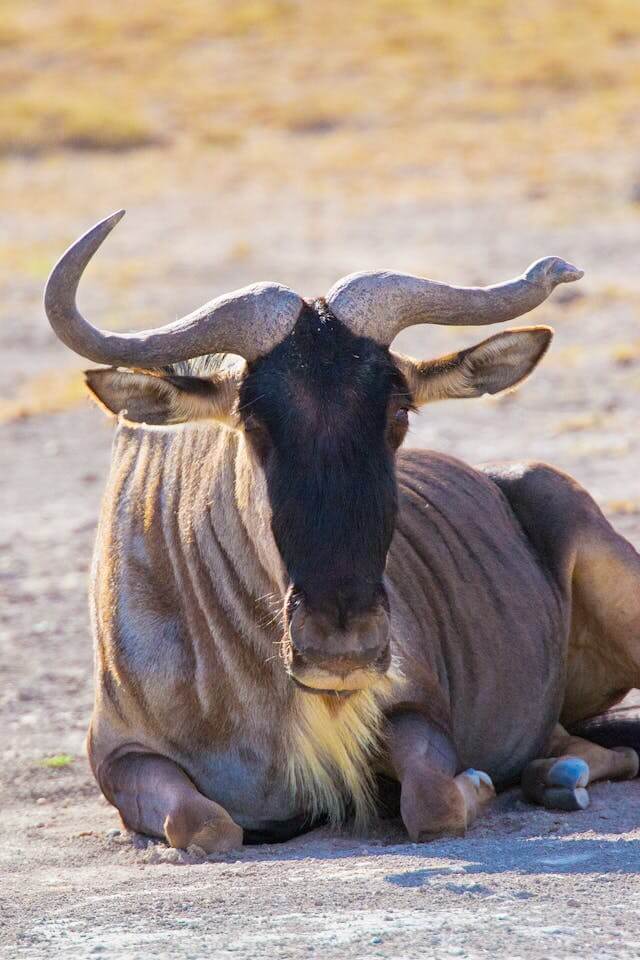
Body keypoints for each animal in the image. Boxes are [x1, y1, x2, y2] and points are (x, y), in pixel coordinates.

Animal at [44, 211, 640, 851]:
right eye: (253, 421)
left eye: (398, 413)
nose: (342, 647)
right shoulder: (120, 756)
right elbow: (201, 824)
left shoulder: (418, 711)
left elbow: (432, 800)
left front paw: (477, 784)